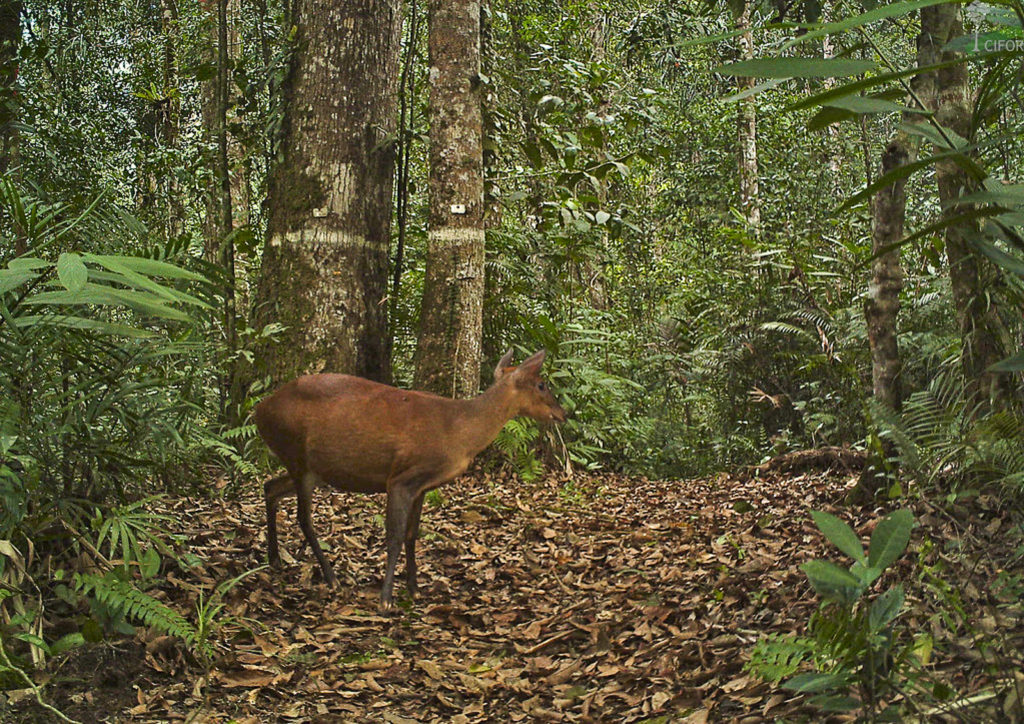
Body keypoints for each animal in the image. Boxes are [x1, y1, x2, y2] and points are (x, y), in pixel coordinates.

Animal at [254, 349, 566, 607]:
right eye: (542, 384)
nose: (562, 413)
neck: (459, 430)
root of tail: (259, 409)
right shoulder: (401, 479)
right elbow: (394, 536)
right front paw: (386, 599)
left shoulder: (422, 487)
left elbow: (412, 535)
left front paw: (414, 589)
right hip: (297, 455)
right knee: (303, 518)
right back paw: (331, 578)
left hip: (315, 468)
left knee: (270, 487)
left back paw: (275, 559)